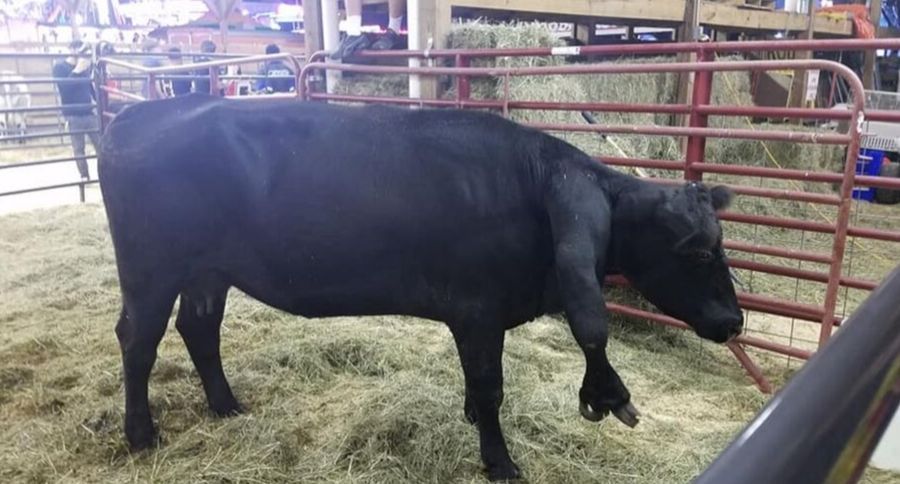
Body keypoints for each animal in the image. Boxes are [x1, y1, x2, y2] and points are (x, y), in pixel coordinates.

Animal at [99, 94, 743, 481]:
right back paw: (140, 433)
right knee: (138, 340)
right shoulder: (478, 313)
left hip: (208, 272)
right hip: (151, 272)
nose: (735, 321)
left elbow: (477, 385)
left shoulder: (477, 320)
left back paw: (227, 406)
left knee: (198, 327)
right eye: (699, 251)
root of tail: (142, 113)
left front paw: (472, 422)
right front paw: (500, 461)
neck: (535, 188)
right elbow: (490, 388)